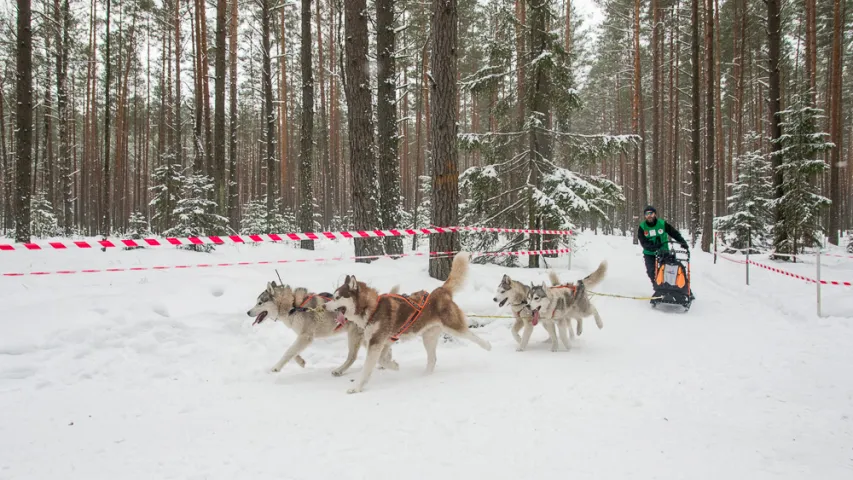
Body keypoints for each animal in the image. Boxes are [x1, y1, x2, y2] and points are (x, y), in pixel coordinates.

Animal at [243, 282, 396, 378]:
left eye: (260, 303)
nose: (248, 312)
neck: (293, 305)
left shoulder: (306, 337)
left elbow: (288, 352)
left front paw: (276, 367)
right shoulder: (303, 337)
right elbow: (293, 352)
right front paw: (301, 362)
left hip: (354, 337)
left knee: (352, 357)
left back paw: (339, 370)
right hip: (364, 338)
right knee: (385, 349)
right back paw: (386, 363)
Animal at [322, 251, 490, 394]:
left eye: (337, 297)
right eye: (333, 296)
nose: (323, 306)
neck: (372, 308)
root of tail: (440, 290)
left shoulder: (376, 343)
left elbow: (367, 369)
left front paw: (356, 388)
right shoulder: (384, 342)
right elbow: (383, 360)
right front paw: (394, 366)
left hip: (453, 326)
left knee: (472, 335)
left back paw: (487, 345)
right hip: (428, 337)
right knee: (432, 359)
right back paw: (425, 375)